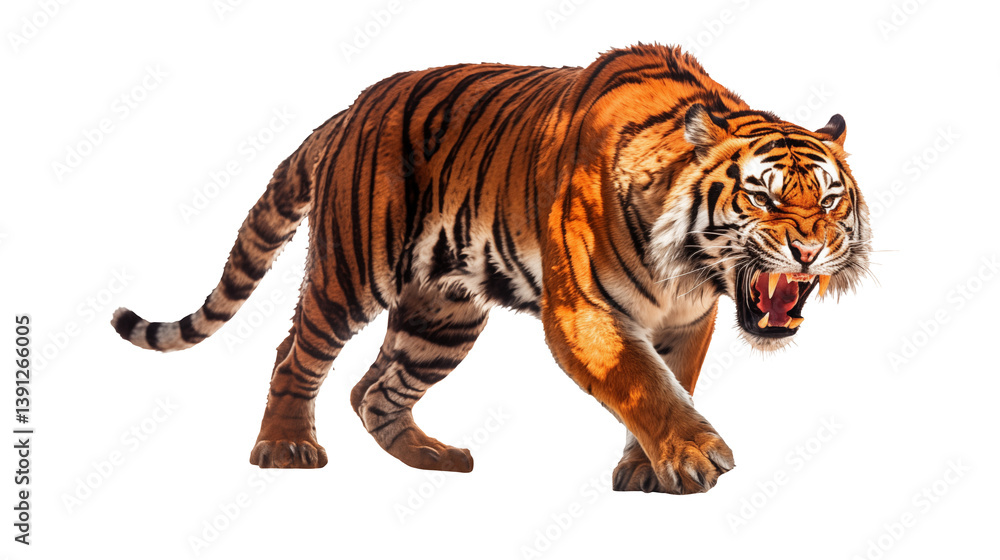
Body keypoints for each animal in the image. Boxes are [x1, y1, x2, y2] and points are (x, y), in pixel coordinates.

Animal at [111, 43, 871, 494]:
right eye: (763, 197)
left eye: (830, 200)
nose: (810, 252)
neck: (685, 269)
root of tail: (351, 107)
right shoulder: (586, 312)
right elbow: (643, 384)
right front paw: (692, 456)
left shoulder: (689, 318)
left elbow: (671, 382)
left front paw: (645, 469)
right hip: (349, 274)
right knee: (295, 355)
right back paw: (285, 447)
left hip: (440, 317)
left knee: (373, 390)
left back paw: (436, 459)